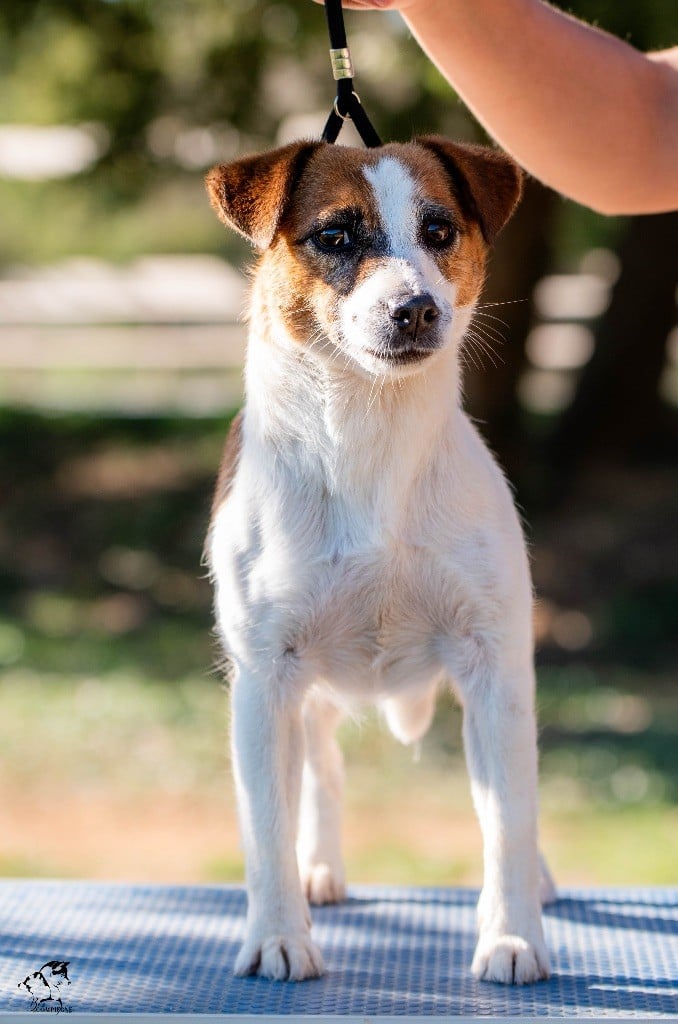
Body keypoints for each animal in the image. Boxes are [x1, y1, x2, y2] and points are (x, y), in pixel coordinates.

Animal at [206, 134, 557, 983]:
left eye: (439, 231)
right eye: (335, 235)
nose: (417, 308)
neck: (372, 435)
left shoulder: (494, 667)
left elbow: (510, 819)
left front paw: (512, 935)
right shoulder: (266, 680)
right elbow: (267, 825)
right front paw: (279, 935)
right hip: (309, 698)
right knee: (322, 773)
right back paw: (318, 869)